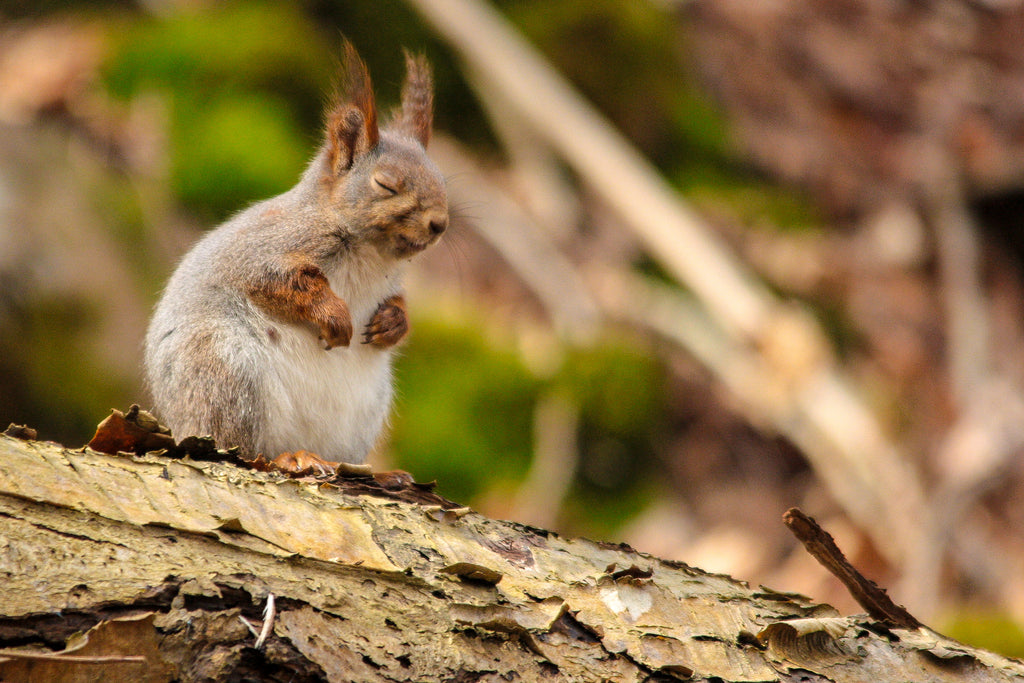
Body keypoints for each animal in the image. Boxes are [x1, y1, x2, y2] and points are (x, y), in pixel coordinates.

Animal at [144, 44, 448, 471]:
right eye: (385, 184)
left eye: (443, 181)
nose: (440, 223)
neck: (373, 255)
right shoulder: (261, 251)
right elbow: (280, 284)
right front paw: (335, 317)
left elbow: (398, 303)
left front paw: (393, 323)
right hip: (225, 371)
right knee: (241, 447)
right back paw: (286, 458)